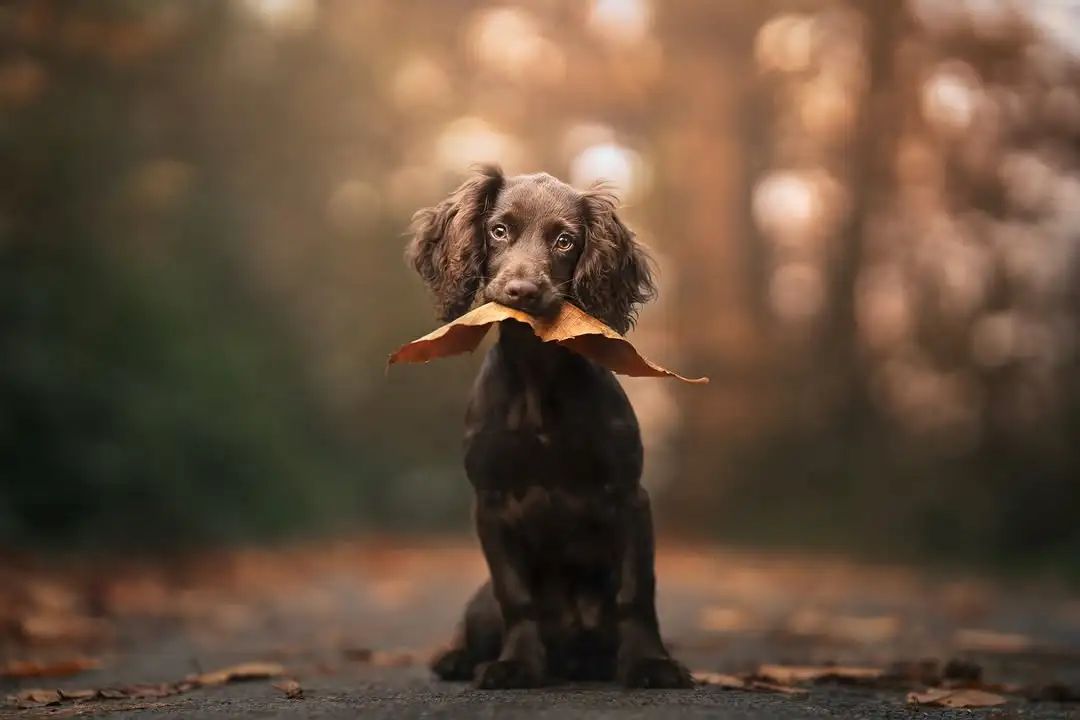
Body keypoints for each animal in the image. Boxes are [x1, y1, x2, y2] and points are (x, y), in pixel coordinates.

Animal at [406, 165, 691, 690]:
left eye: (564, 241)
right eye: (499, 230)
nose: (522, 290)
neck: (538, 375)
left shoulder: (629, 495)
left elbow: (636, 593)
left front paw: (650, 663)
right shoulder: (491, 501)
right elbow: (515, 597)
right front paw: (516, 664)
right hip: (480, 606)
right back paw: (456, 658)